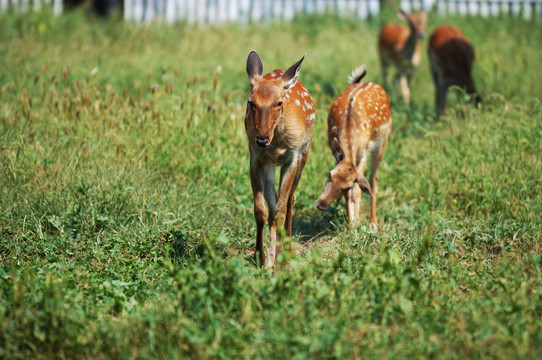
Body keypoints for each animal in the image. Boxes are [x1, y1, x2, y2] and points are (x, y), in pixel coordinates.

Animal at [245, 50, 316, 270]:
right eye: (251, 102)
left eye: (279, 102)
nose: (261, 139)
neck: (276, 143)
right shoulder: (255, 157)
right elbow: (261, 210)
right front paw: (260, 258)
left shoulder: (292, 156)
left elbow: (282, 208)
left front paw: (280, 263)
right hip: (269, 164)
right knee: (273, 203)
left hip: (304, 154)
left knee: (290, 200)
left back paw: (287, 252)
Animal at [314, 66, 396, 229]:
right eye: (329, 175)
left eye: (347, 186)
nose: (321, 204)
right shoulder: (336, 153)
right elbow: (350, 195)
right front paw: (351, 223)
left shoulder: (363, 153)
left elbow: (357, 190)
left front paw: (355, 224)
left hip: (382, 142)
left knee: (373, 180)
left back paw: (373, 223)